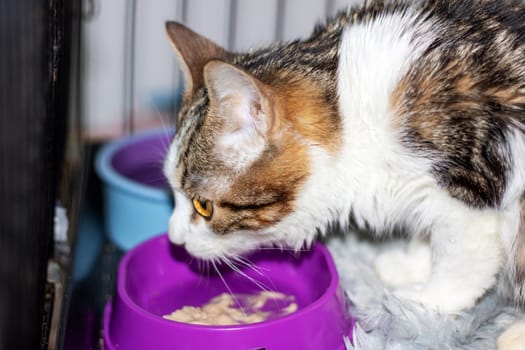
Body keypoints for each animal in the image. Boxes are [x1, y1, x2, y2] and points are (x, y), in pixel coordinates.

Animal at [162, 0, 524, 328]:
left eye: (204, 206)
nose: (174, 239)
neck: (350, 111)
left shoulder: (468, 189)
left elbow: (462, 255)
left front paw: (427, 302)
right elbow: (429, 224)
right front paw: (412, 263)